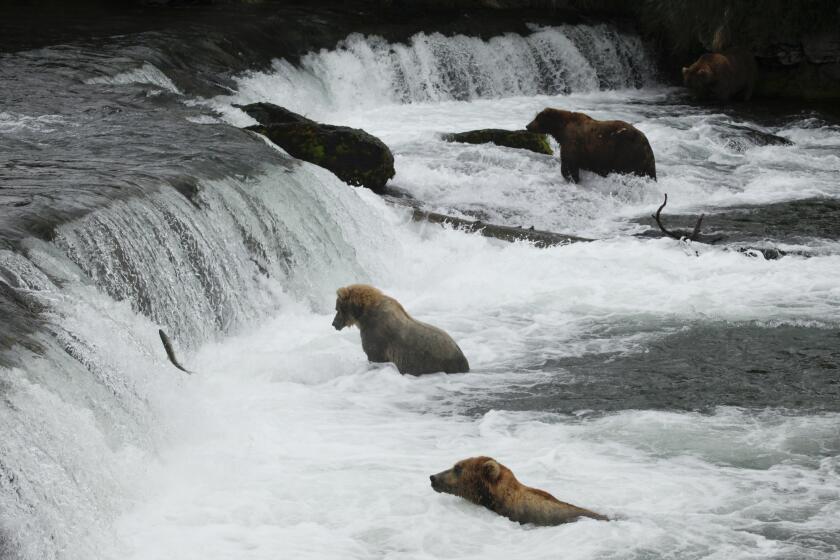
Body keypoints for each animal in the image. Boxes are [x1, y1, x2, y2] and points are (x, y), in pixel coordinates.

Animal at [332, 284, 470, 376]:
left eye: (337, 308)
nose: (334, 323)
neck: (364, 316)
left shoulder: (377, 337)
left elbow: (374, 355)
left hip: (437, 362)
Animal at [524, 107, 656, 182]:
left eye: (537, 118)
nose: (527, 125)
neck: (560, 128)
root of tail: (646, 143)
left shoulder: (572, 141)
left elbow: (569, 163)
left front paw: (572, 178)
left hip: (626, 152)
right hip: (644, 161)